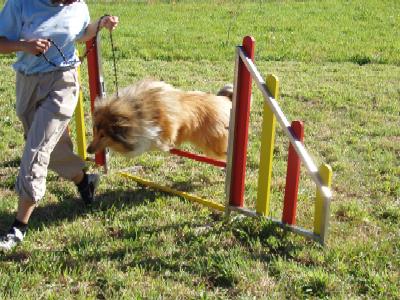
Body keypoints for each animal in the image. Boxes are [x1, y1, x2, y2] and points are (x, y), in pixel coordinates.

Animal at [86, 79, 233, 159]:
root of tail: (225, 100)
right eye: (95, 131)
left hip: (214, 144)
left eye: (103, 135)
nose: (88, 150)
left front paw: (162, 143)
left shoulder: (167, 123)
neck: (136, 113)